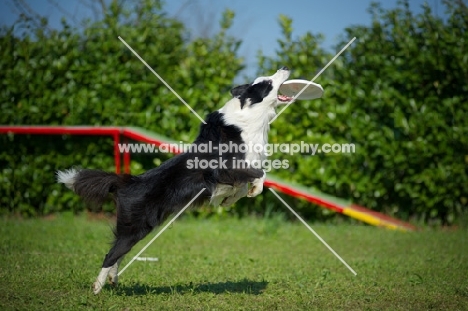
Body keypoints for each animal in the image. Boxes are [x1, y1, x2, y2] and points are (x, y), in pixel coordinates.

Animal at [56, 66, 290, 294]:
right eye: (267, 83)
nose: (285, 67)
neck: (251, 116)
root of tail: (128, 181)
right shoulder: (226, 168)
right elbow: (260, 174)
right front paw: (252, 190)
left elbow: (242, 187)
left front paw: (229, 199)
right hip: (136, 226)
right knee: (111, 254)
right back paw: (97, 288)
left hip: (136, 228)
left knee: (118, 253)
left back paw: (113, 280)